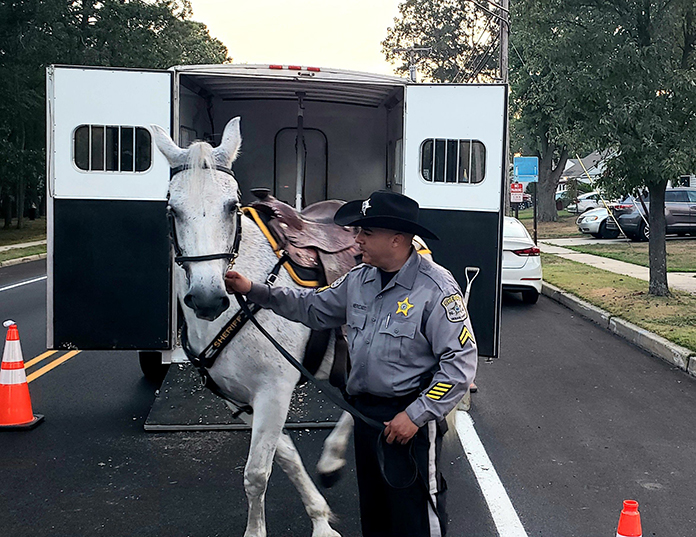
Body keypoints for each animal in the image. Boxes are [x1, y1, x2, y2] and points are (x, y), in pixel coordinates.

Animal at [154, 117, 348, 536]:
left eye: (231, 207)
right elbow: (287, 457)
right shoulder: (240, 399)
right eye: (172, 210)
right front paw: (320, 516)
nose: (208, 298)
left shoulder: (274, 391)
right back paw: (332, 460)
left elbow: (256, 474)